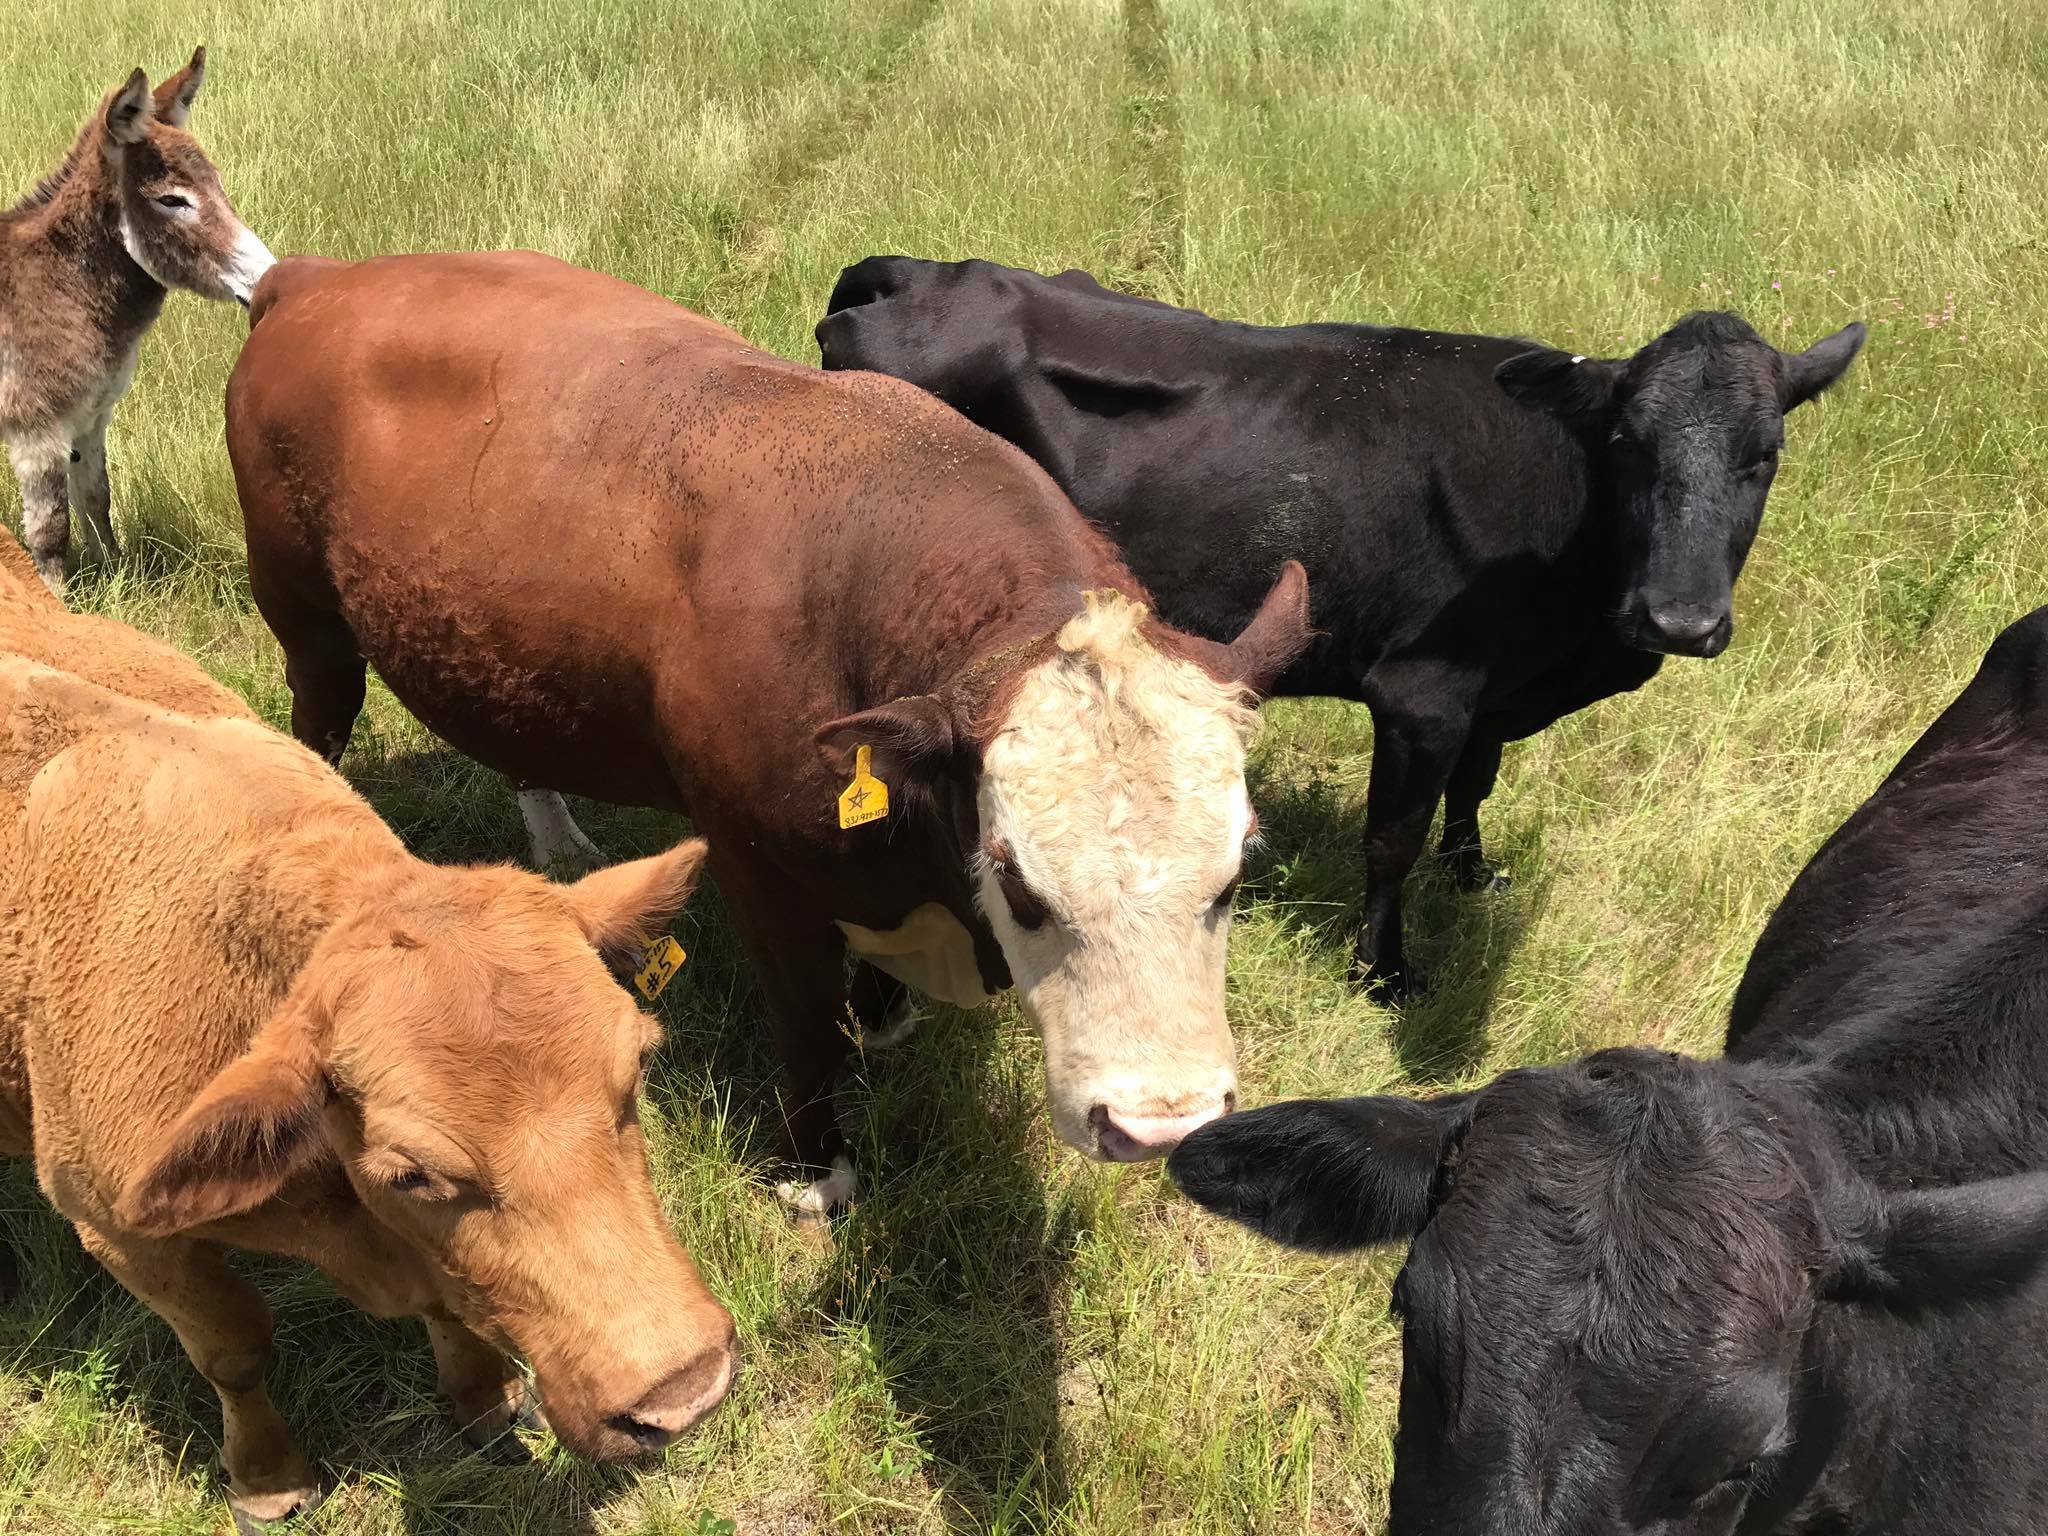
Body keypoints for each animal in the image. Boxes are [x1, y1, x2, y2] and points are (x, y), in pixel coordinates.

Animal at [0, 560, 735, 1531]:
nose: (683, 1392)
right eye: (413, 1172)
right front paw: (269, 1480)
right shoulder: (125, 1234)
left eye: (638, 1073)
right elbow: (235, 1350)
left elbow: (454, 1307)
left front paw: (486, 1403)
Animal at [1, 49, 274, 597]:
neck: (65, 283)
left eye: (219, 187)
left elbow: (97, 501)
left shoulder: (92, 418)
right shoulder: (36, 427)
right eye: (172, 200)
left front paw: (115, 579)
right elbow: (50, 532)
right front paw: (58, 607)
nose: (268, 277)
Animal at [224, 251, 1313, 1216]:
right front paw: (814, 1172)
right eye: (1019, 886)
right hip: (305, 620)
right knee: (315, 728)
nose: (1159, 1125)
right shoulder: (755, 867)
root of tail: (320, 277)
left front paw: (884, 1015)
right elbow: (806, 1026)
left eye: (1231, 879)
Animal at [816, 255, 1866, 996]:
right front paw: (1384, 971)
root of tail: (916, 271)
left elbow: (1475, 786)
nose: (1679, 618)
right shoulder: (1422, 693)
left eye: (1764, 455)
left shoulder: (1491, 689)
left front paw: (1472, 872)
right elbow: (1390, 837)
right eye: (1626, 444)